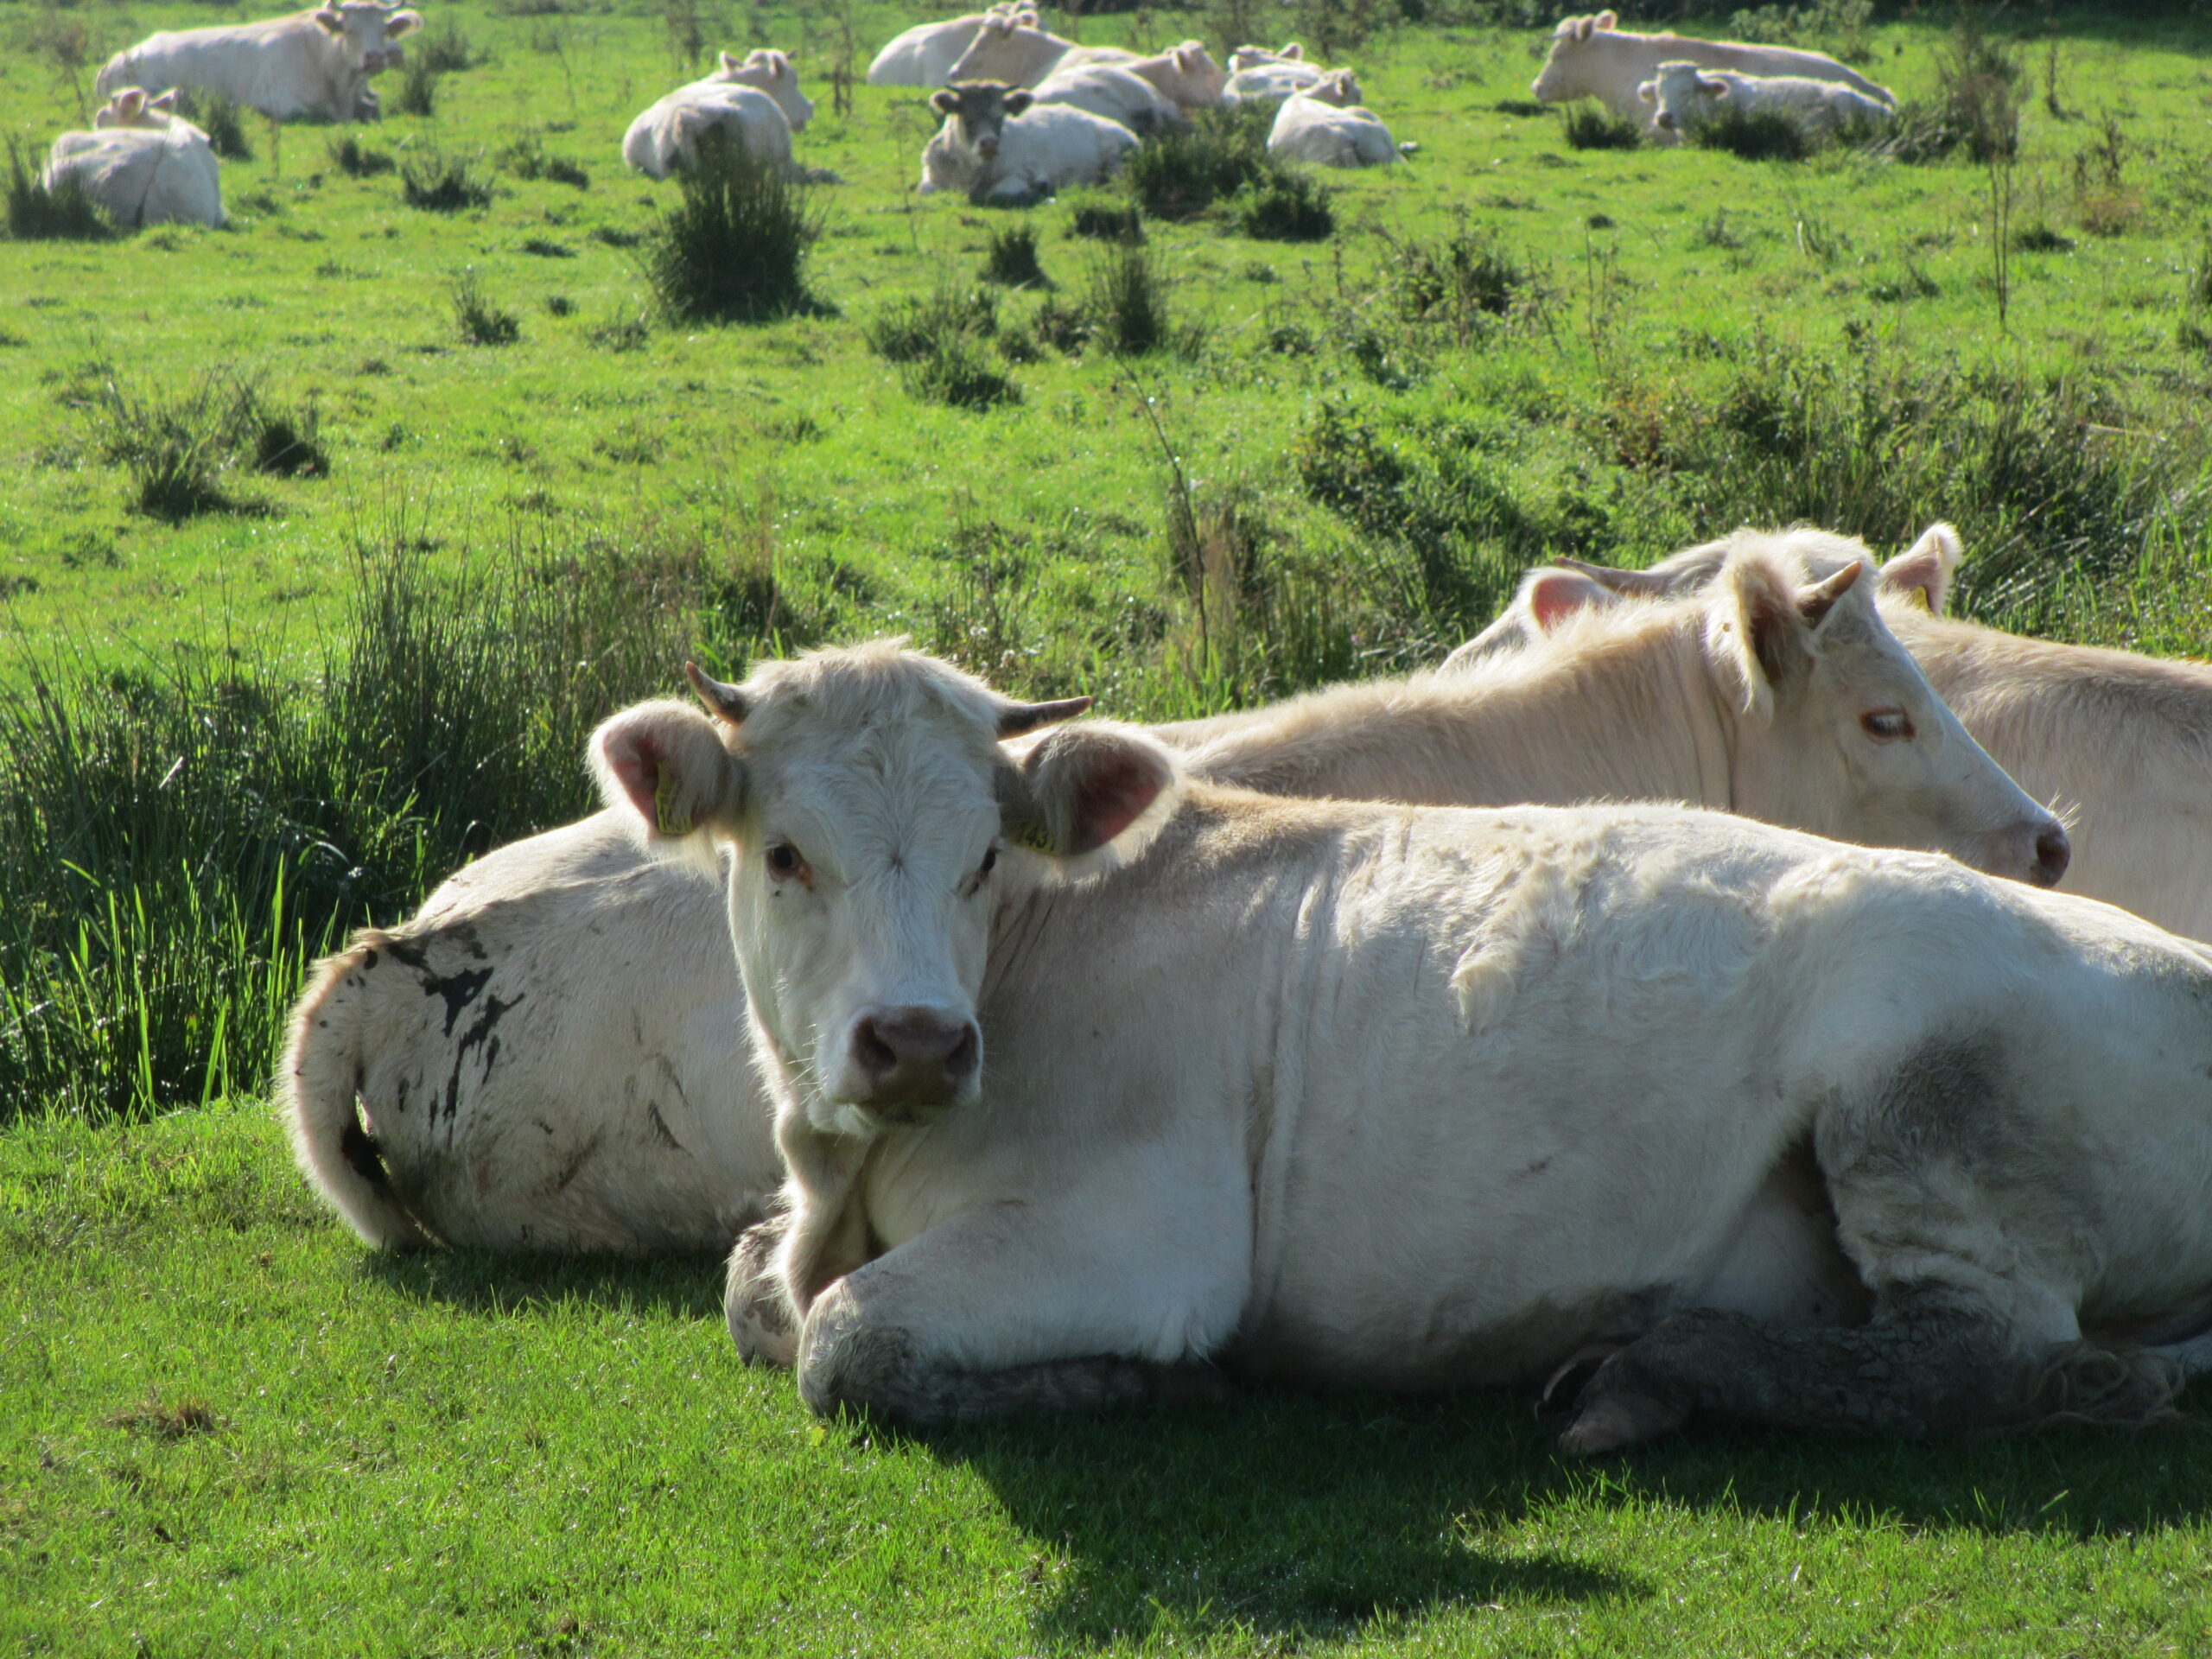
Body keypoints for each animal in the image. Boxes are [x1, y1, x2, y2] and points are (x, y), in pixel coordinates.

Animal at [598, 639, 2212, 1448]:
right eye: (786, 856)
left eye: (983, 859)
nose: (920, 1043)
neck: (847, 1179)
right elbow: (753, 1294)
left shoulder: (1140, 1235)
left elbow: (841, 1341)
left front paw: (1144, 1383)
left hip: (1920, 1099)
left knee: (1979, 1356)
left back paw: (1664, 1364)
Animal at [917, 81, 1137, 205]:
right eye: (967, 117)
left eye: (1000, 116)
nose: (989, 143)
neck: (968, 174)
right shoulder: (931, 175)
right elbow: (924, 191)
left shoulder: (1024, 172)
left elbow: (997, 194)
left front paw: (1037, 189)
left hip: (1116, 162)